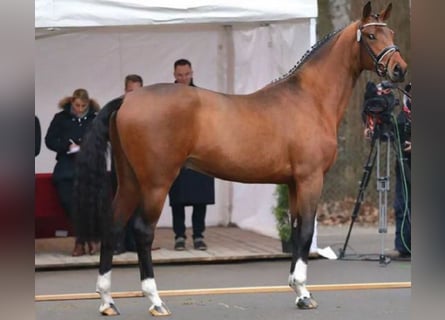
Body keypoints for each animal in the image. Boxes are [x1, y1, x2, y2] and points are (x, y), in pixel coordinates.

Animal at [74, 1, 404, 318]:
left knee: (112, 225)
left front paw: (297, 290)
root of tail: (128, 99)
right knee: (142, 231)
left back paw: (107, 301)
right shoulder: (310, 179)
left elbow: (296, 229)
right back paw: (155, 301)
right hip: (156, 182)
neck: (310, 99)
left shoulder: (293, 183)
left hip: (129, 180)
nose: (399, 69)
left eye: (391, 33)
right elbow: (307, 231)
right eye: (371, 35)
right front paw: (305, 295)